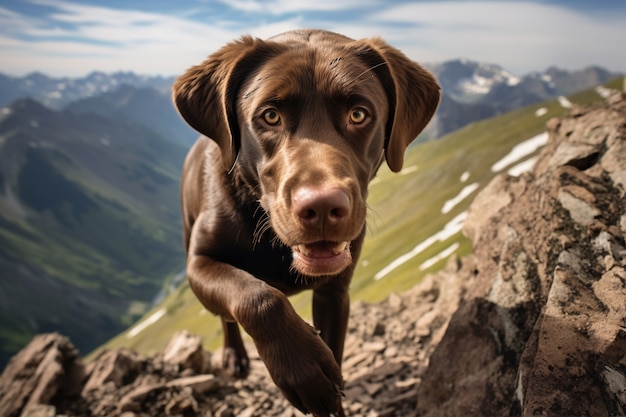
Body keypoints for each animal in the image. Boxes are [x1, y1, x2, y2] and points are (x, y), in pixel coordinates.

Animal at [172, 28, 438, 412]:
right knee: (227, 317)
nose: (323, 207)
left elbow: (334, 364)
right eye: (270, 116)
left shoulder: (334, 293)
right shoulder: (200, 262)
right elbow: (258, 295)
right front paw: (304, 368)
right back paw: (235, 356)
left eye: (359, 114)